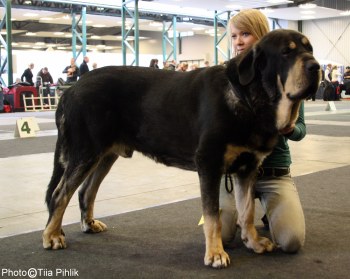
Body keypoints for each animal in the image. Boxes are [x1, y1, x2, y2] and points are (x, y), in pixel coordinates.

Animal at [43, 29, 320, 268]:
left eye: (310, 49)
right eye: (286, 52)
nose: (316, 66)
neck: (250, 98)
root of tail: (70, 90)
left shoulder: (247, 168)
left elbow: (247, 211)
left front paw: (253, 242)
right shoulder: (209, 162)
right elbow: (213, 217)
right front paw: (215, 254)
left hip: (105, 154)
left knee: (85, 192)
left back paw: (88, 224)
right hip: (85, 151)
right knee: (60, 194)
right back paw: (52, 236)